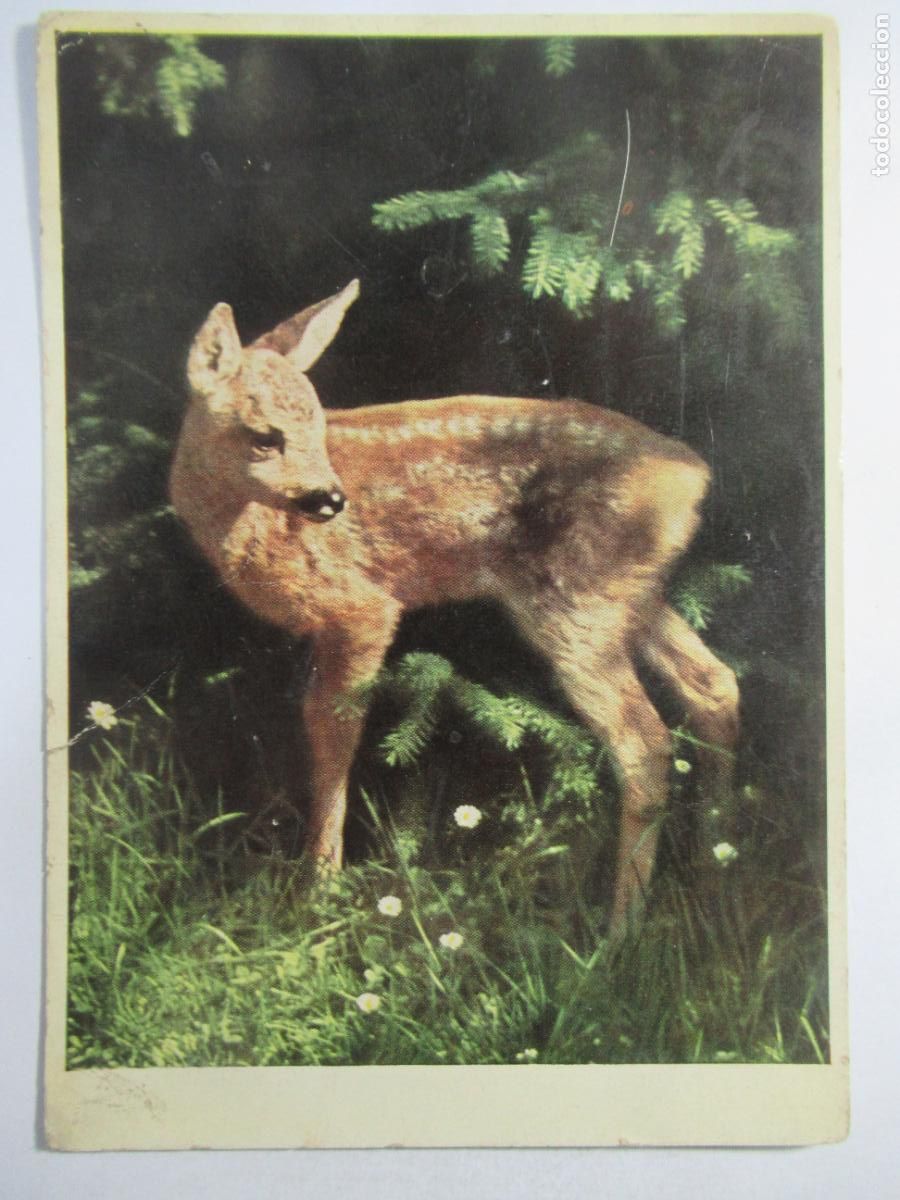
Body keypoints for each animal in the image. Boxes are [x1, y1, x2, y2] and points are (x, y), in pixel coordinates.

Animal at [170, 279, 739, 933]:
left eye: (315, 425)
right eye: (265, 435)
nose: (331, 499)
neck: (248, 528)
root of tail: (692, 479)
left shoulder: (362, 606)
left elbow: (334, 729)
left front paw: (320, 886)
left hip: (576, 600)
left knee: (645, 742)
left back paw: (620, 931)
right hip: (631, 593)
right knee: (713, 684)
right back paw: (714, 876)